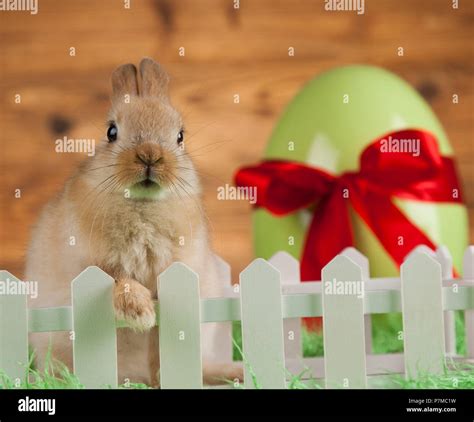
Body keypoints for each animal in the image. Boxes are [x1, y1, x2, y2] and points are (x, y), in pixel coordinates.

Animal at [24, 57, 243, 388]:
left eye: (180, 136)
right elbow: (120, 281)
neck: (142, 206)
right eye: (111, 131)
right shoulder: (93, 266)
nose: (150, 154)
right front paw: (141, 313)